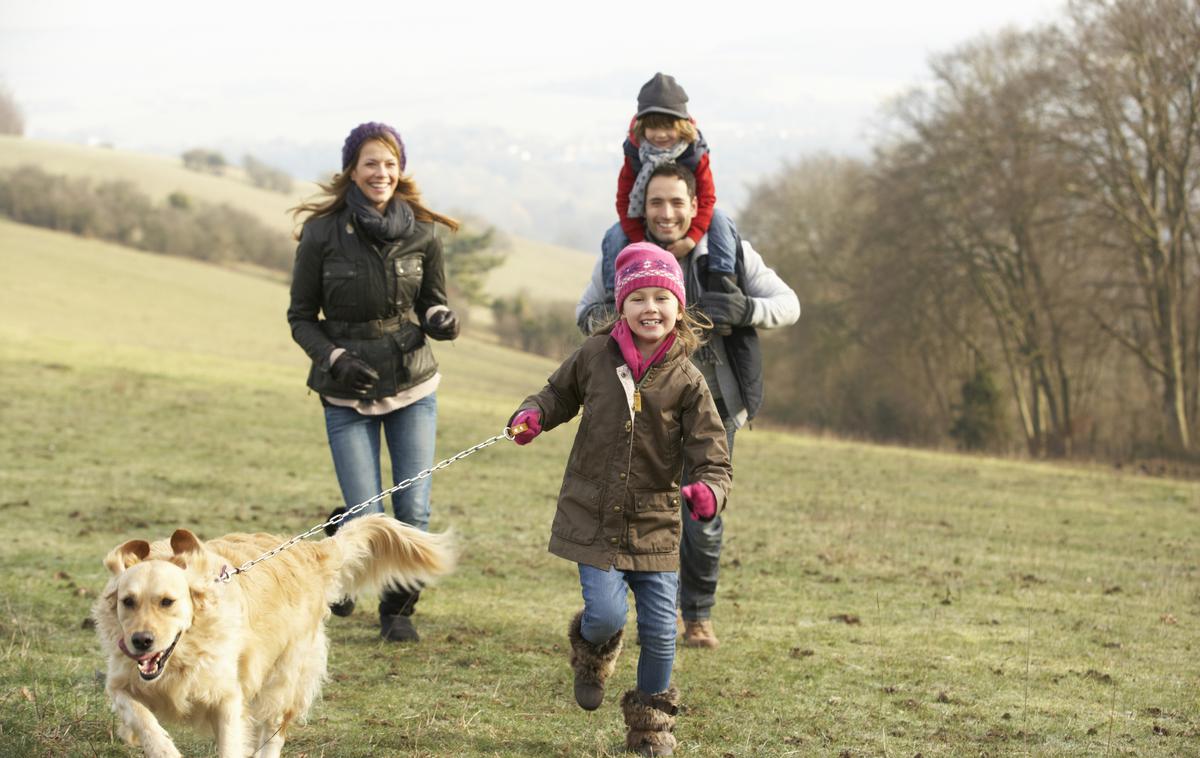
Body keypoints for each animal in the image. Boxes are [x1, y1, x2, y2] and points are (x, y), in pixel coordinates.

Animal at [92, 513, 453, 753]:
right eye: (128, 601)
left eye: (167, 601)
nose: (141, 641)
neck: (183, 654)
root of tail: (310, 552)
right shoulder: (121, 683)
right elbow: (143, 719)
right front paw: (153, 741)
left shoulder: (227, 697)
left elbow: (231, 742)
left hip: (284, 676)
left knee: (274, 730)